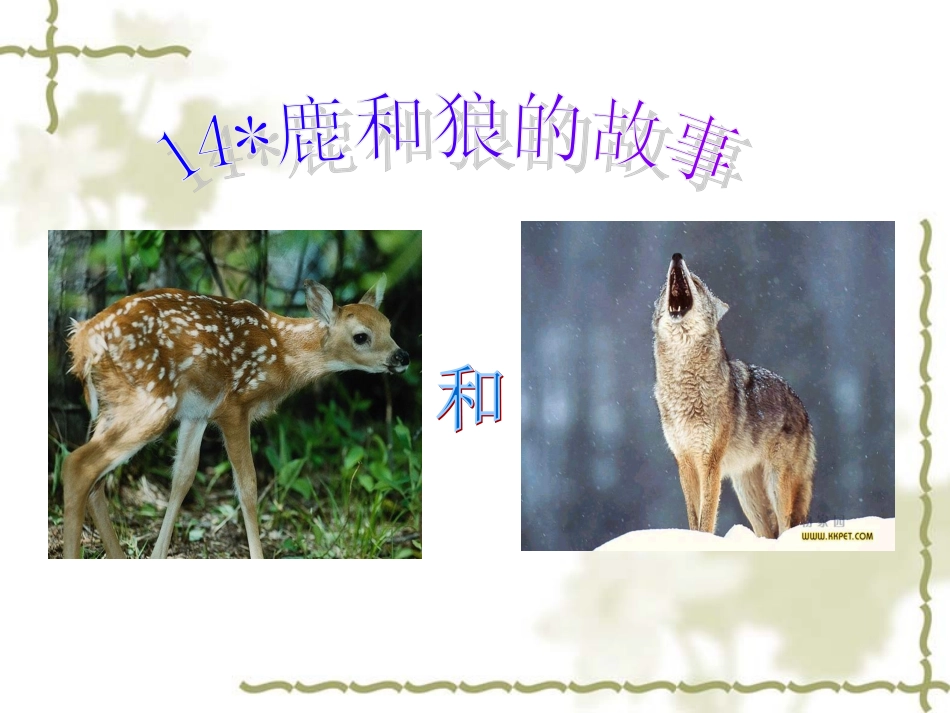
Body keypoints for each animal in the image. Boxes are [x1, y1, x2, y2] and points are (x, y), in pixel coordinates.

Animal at [61, 276, 409, 559]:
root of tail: (81, 342)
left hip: (115, 405)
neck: (281, 352)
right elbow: (248, 487)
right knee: (79, 465)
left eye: (389, 327)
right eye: (361, 336)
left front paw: (158, 555)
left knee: (96, 481)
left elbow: (183, 477)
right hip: (151, 401)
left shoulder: (197, 413)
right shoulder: (234, 406)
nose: (402, 356)